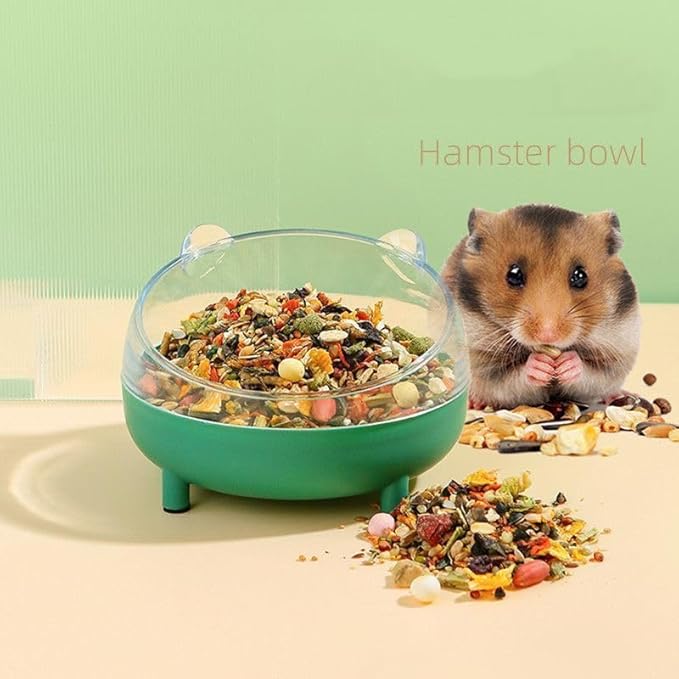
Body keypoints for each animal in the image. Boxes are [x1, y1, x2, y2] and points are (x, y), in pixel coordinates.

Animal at [442, 204, 641, 409]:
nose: (548, 335)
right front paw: (540, 365)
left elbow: (592, 373)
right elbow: (512, 376)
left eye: (580, 276)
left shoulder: (617, 351)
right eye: (513, 275)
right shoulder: (484, 362)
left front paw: (567, 364)